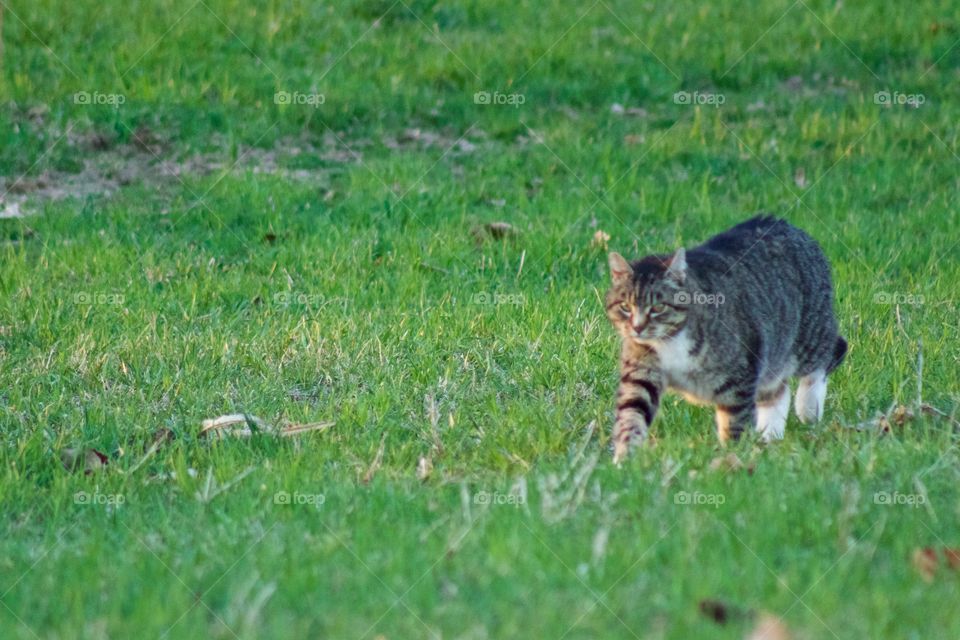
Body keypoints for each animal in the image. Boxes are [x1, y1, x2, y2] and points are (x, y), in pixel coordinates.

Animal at [608, 218, 848, 462]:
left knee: (828, 356)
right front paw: (624, 460)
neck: (670, 342)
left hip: (808, 336)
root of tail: (790, 226)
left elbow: (735, 423)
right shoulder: (641, 371)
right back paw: (769, 436)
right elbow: (632, 413)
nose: (637, 327)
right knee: (777, 392)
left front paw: (732, 459)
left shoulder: (740, 377)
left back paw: (808, 407)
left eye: (658, 307)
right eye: (625, 307)